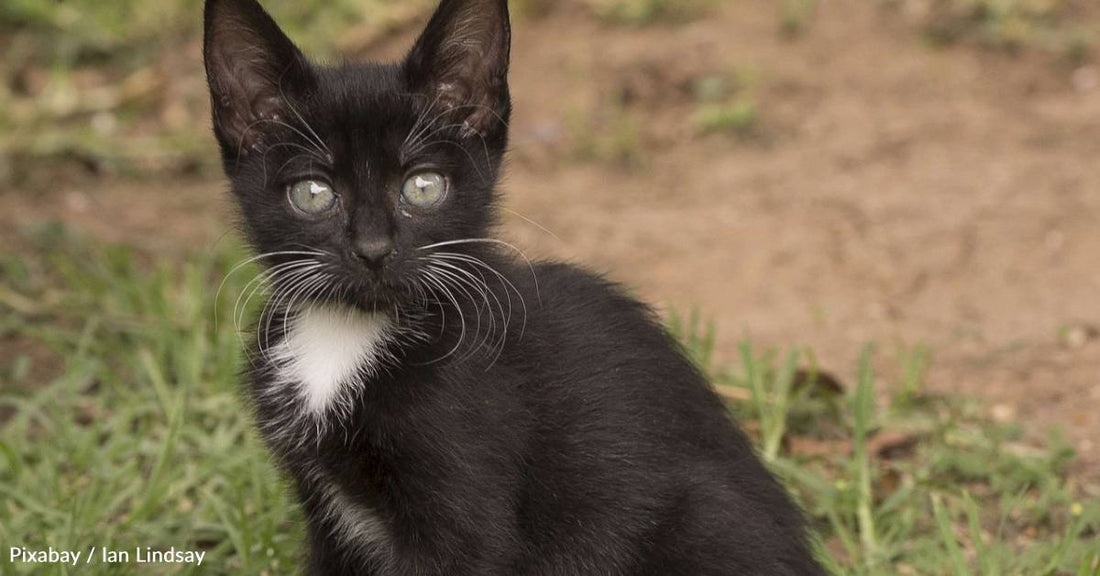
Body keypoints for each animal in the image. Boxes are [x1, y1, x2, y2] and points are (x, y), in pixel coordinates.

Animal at [204, 1, 827, 571]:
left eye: (423, 187)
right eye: (313, 194)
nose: (374, 250)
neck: (349, 333)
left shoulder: (468, 511)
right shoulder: (327, 520)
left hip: (699, 520)